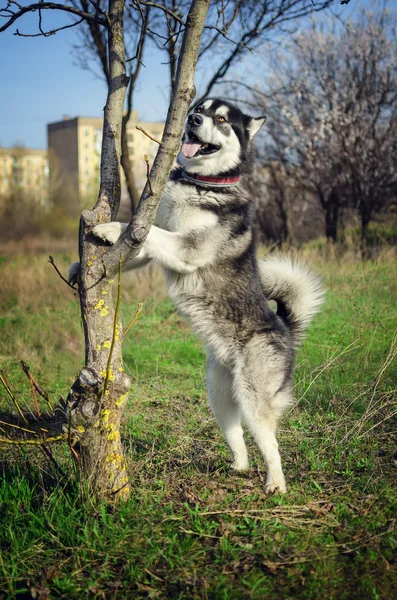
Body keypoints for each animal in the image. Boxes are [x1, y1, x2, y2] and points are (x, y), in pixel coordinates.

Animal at [88, 97, 324, 492]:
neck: (203, 184)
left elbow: (145, 230)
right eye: (199, 107)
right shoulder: (152, 246)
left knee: (270, 442)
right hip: (219, 393)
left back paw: (275, 483)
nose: (194, 119)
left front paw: (106, 228)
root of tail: (285, 330)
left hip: (253, 396)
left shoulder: (188, 247)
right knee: (237, 435)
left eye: (222, 119)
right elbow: (138, 236)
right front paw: (81, 265)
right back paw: (238, 466)